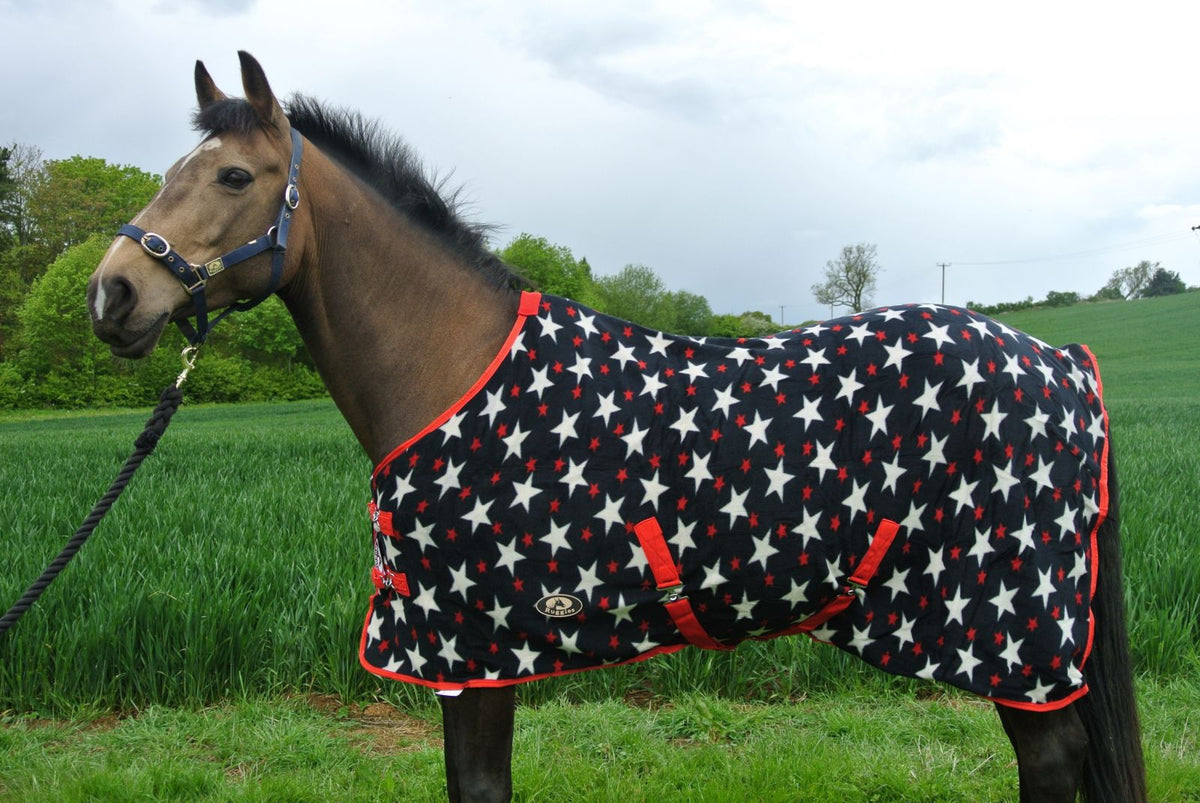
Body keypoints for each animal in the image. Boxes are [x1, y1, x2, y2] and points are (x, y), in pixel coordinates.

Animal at [86, 52, 1146, 802]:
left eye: (233, 176)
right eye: (173, 168)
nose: (111, 294)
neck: (453, 368)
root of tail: (1058, 360)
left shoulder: (473, 649)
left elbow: (479, 785)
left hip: (1003, 626)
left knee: (1052, 756)